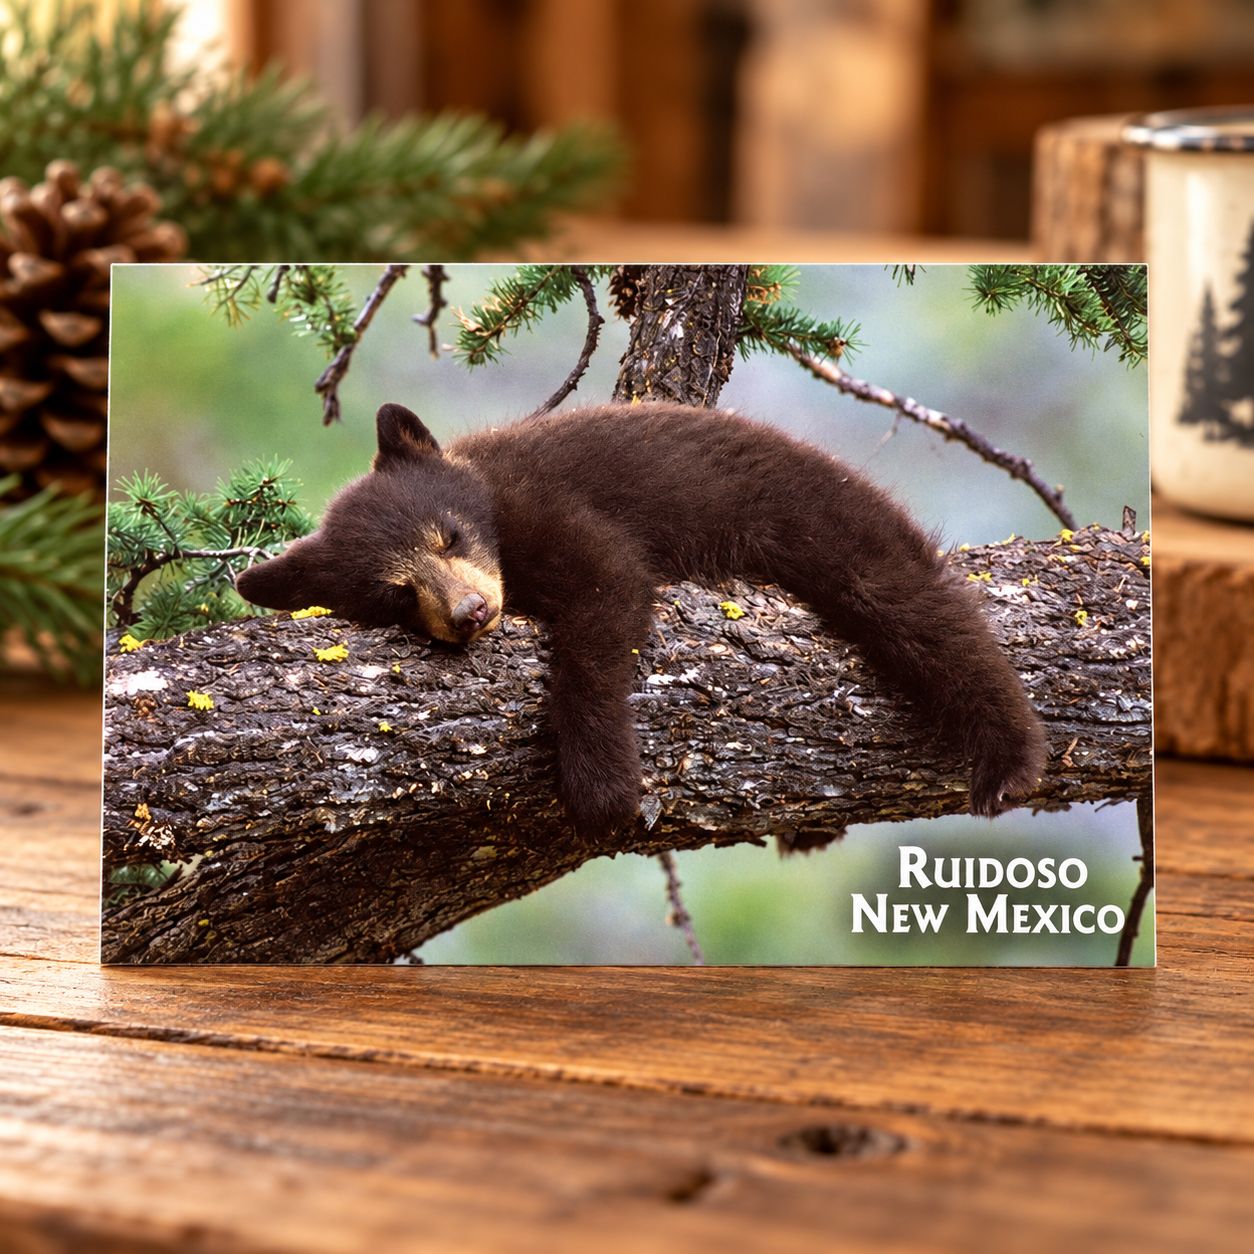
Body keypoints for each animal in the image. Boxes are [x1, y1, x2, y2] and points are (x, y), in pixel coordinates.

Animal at [236, 401, 1047, 838]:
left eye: (450, 536)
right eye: (396, 595)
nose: (471, 613)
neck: (494, 506)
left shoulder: (549, 510)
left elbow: (605, 600)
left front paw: (601, 788)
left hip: (824, 521)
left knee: (917, 609)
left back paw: (1007, 759)